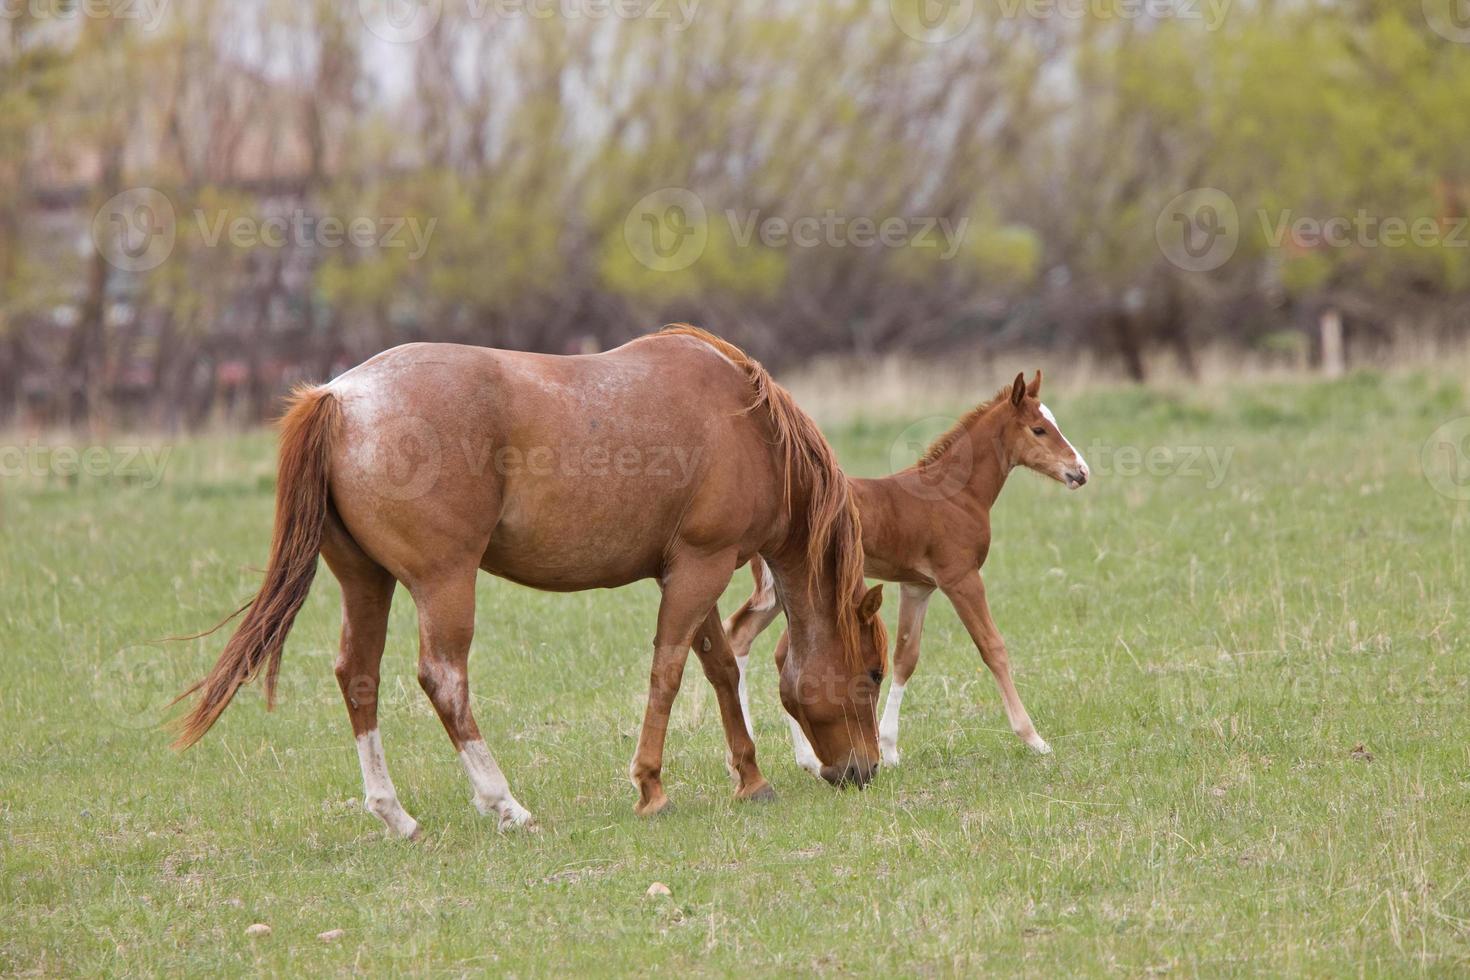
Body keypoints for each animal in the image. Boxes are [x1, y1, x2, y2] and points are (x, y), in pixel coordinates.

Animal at [171, 327, 882, 834]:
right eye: (873, 674)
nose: (865, 770)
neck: (746, 423)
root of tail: (339, 397)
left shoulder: (687, 570)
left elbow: (720, 669)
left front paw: (751, 780)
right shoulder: (699, 568)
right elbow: (670, 672)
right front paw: (651, 787)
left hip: (367, 583)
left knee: (358, 677)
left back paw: (396, 816)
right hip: (444, 584)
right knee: (444, 681)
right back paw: (504, 803)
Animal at [726, 371, 1087, 769]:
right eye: (1039, 429)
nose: (1080, 472)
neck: (956, 495)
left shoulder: (917, 586)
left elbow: (905, 658)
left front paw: (889, 748)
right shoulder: (961, 578)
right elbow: (993, 647)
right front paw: (1034, 738)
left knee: (742, 635)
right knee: (775, 650)